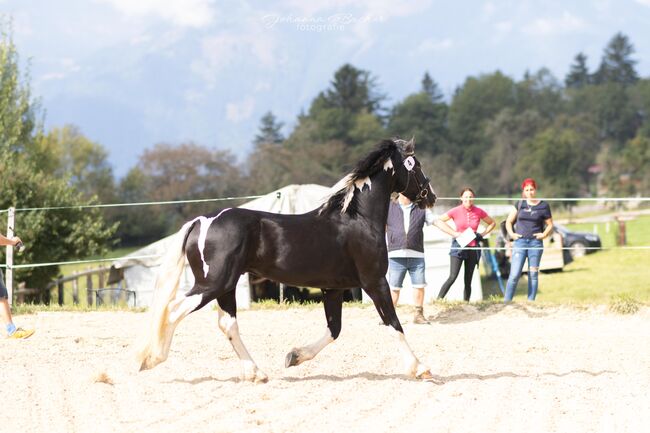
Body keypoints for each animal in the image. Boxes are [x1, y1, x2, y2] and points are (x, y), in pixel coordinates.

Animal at [139, 137, 438, 380]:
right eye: (417, 166)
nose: (431, 196)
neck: (358, 220)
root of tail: (201, 221)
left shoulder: (333, 288)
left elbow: (334, 329)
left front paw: (294, 356)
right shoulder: (375, 281)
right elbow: (393, 323)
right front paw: (420, 368)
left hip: (225, 286)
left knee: (227, 324)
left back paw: (256, 373)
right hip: (212, 284)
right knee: (174, 310)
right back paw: (151, 359)